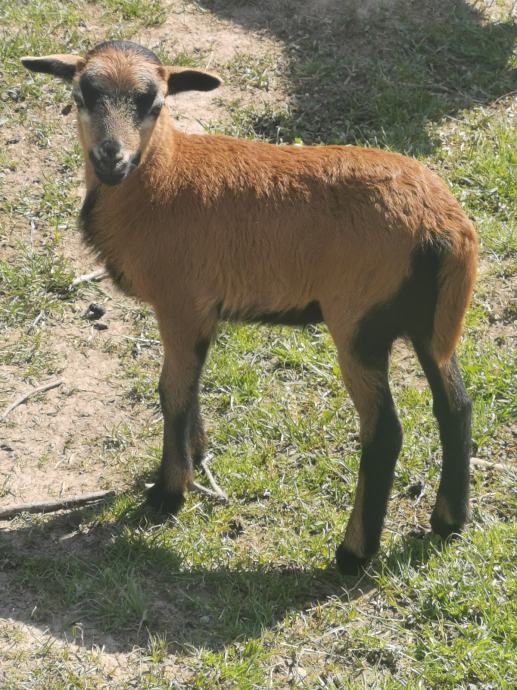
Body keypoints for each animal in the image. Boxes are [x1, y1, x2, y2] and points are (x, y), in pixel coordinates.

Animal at [22, 40, 477, 574]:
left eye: (154, 104)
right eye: (81, 96)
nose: (112, 158)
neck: (159, 178)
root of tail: (445, 226)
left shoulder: (182, 303)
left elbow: (172, 392)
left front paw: (168, 493)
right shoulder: (198, 312)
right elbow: (190, 387)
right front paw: (195, 456)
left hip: (357, 322)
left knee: (384, 432)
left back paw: (353, 554)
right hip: (429, 322)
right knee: (455, 406)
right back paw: (448, 520)